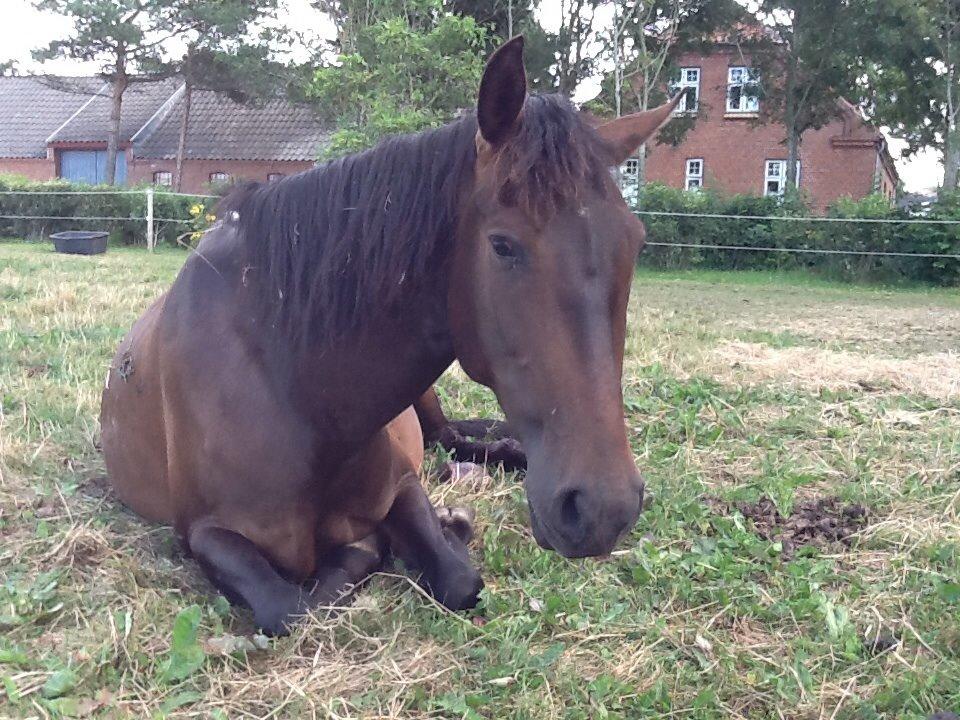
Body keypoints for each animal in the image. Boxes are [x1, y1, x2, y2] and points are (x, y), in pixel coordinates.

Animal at [101, 38, 688, 636]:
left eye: (634, 242)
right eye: (502, 245)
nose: (603, 509)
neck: (295, 392)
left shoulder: (403, 486)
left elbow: (456, 577)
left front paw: (442, 530)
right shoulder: (203, 533)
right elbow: (289, 608)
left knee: (456, 440)